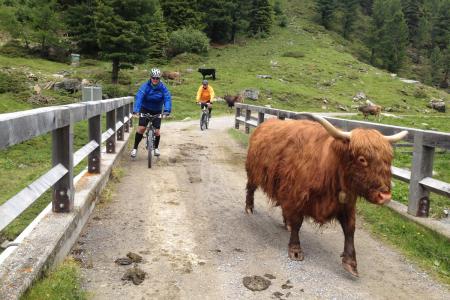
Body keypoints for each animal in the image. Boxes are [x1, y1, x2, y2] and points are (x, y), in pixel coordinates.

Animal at [246, 115, 408, 276]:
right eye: (362, 159)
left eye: (388, 159)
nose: (385, 196)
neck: (329, 166)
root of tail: (265, 123)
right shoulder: (297, 196)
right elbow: (298, 222)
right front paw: (295, 250)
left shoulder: (347, 203)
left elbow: (350, 229)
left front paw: (351, 262)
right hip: (254, 171)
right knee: (251, 188)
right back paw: (249, 208)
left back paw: (287, 224)